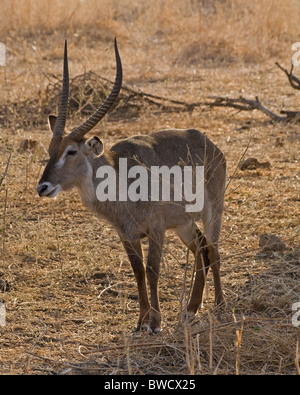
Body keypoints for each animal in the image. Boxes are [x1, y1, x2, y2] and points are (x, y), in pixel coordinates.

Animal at [37, 38, 225, 334]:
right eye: (50, 150)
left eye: (71, 151)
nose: (43, 187)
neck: (120, 182)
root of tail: (209, 143)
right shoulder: (126, 234)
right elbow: (137, 271)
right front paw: (141, 320)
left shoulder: (156, 230)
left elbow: (152, 270)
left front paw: (155, 322)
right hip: (184, 224)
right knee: (201, 248)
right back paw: (191, 308)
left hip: (212, 212)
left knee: (214, 249)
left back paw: (219, 306)